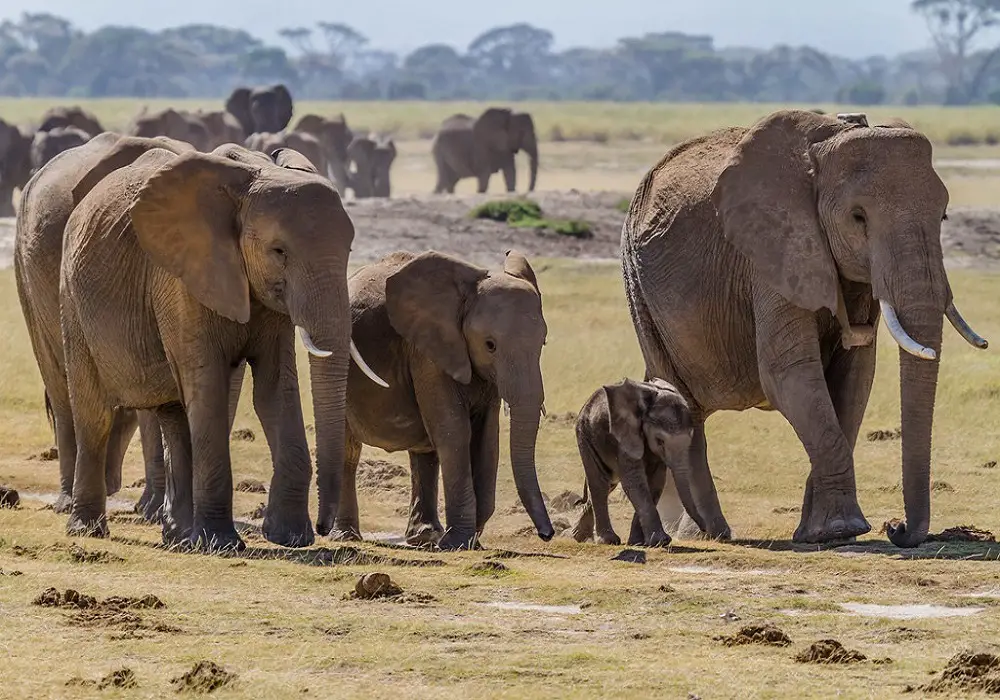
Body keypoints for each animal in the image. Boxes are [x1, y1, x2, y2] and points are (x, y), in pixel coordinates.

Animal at [54, 141, 386, 550]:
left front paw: (290, 537)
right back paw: (88, 529)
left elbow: (276, 390)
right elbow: (208, 383)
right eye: (279, 251)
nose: (326, 529)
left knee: (175, 414)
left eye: (350, 250)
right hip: (71, 298)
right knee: (95, 412)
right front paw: (222, 543)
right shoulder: (182, 279)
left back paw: (179, 537)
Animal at [334, 249, 554, 550]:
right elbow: (454, 431)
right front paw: (458, 542)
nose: (547, 534)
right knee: (348, 449)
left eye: (543, 342)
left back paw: (424, 538)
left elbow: (487, 439)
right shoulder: (427, 352)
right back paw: (347, 536)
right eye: (490, 345)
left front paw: (469, 542)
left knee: (424, 450)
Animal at [570, 378, 702, 548]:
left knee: (609, 484)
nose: (704, 529)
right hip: (585, 434)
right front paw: (661, 541)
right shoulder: (624, 438)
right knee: (600, 483)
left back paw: (579, 536)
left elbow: (655, 483)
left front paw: (638, 543)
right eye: (660, 441)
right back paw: (607, 540)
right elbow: (635, 482)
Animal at [620, 109, 987, 547]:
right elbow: (789, 374)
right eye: (858, 217)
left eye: (943, 215)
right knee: (682, 402)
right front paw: (843, 530)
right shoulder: (771, 251)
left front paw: (820, 534)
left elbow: (854, 378)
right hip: (637, 284)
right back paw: (710, 533)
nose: (897, 528)